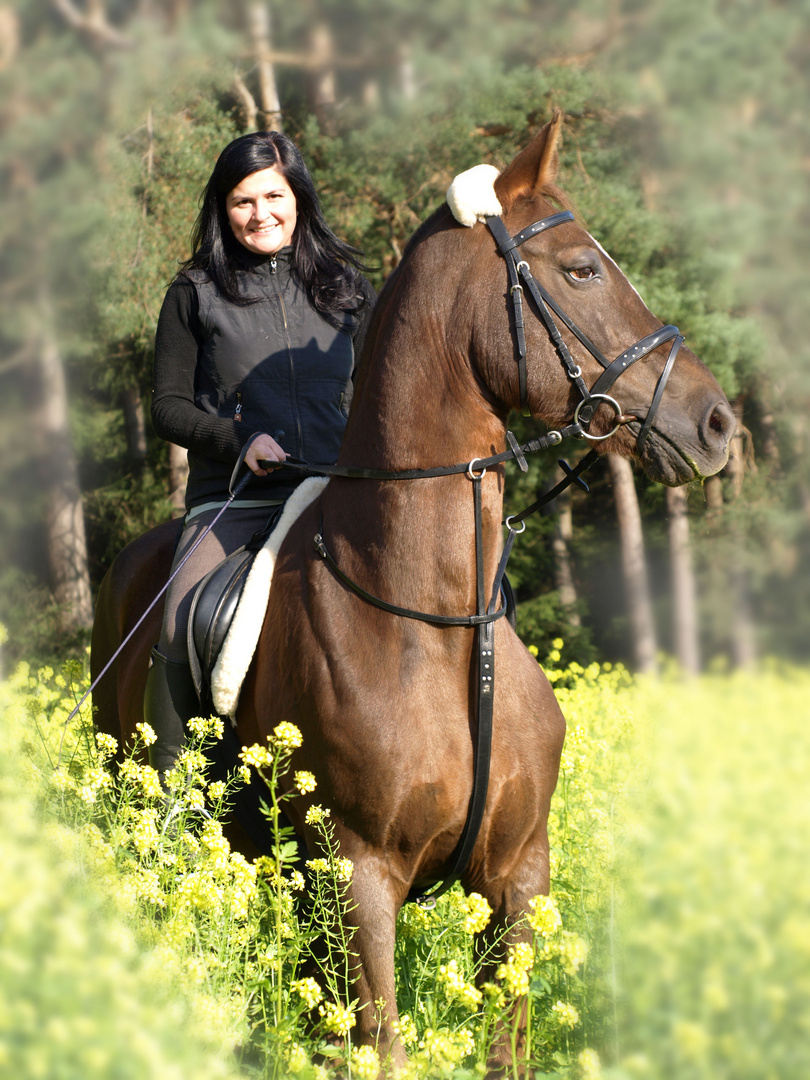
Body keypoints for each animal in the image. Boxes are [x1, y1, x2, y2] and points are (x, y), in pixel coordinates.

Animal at [90, 120, 734, 1071]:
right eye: (583, 269)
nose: (718, 424)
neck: (441, 622)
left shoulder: (518, 875)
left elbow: (503, 1044)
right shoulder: (359, 878)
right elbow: (383, 1046)